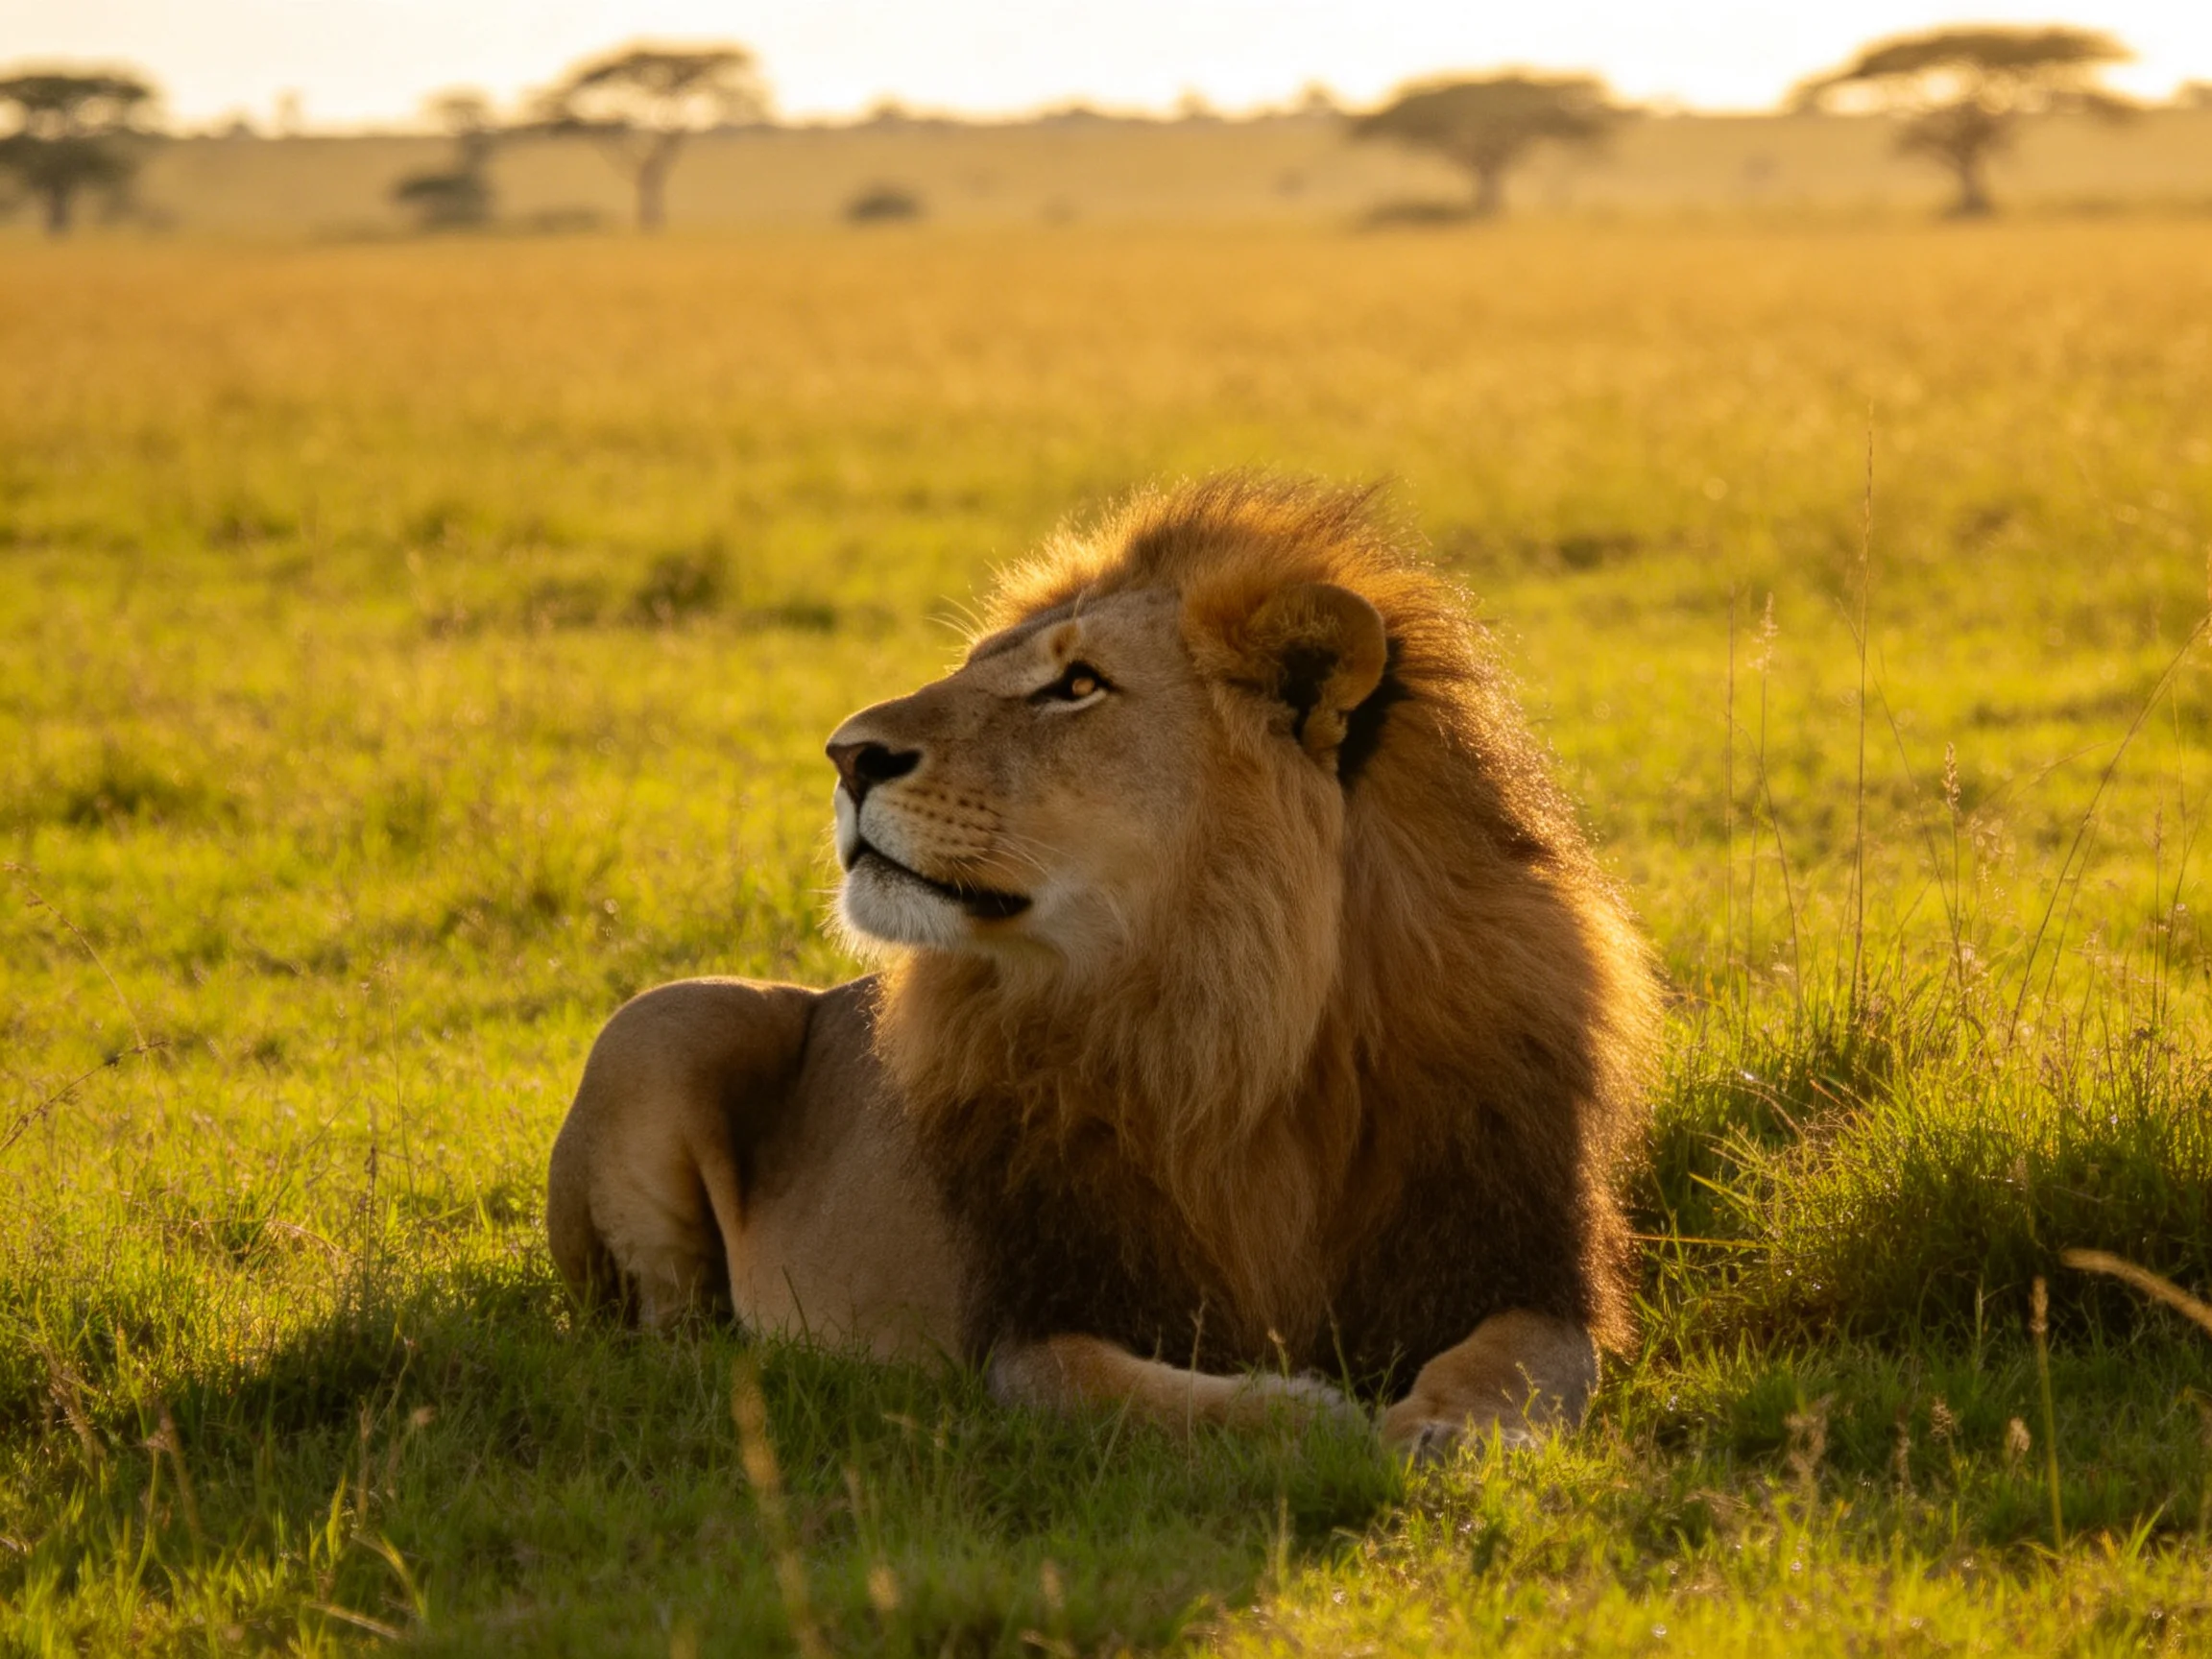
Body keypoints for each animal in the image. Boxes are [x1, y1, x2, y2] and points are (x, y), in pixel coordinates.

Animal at [547, 475, 1660, 1453]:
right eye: (975, 667)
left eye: (1075, 687)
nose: (846, 755)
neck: (1231, 1023)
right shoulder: (1031, 1321)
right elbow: (1141, 1398)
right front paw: (1308, 1417)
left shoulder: (1519, 1254)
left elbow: (1527, 1358)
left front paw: (1450, 1427)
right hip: (669, 1019)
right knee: (668, 1329)